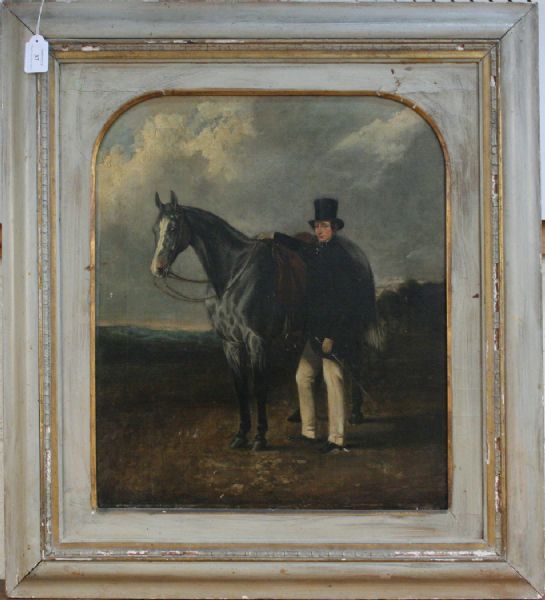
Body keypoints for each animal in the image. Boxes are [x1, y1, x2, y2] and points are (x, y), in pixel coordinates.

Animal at [150, 190, 381, 450]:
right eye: (155, 229)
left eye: (173, 227)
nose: (157, 268)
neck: (233, 276)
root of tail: (358, 254)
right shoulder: (230, 343)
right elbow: (241, 388)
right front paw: (241, 434)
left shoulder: (257, 340)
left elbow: (260, 387)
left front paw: (260, 437)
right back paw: (300, 416)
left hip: (350, 328)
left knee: (355, 362)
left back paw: (355, 414)